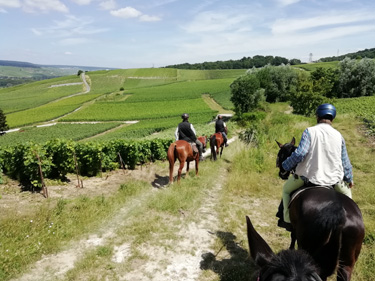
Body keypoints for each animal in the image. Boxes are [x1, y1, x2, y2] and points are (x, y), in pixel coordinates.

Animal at [274, 138, 366, 280]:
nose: (281, 173)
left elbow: (292, 237)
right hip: (347, 262)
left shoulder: (295, 227)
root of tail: (339, 214)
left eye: (282, 154)